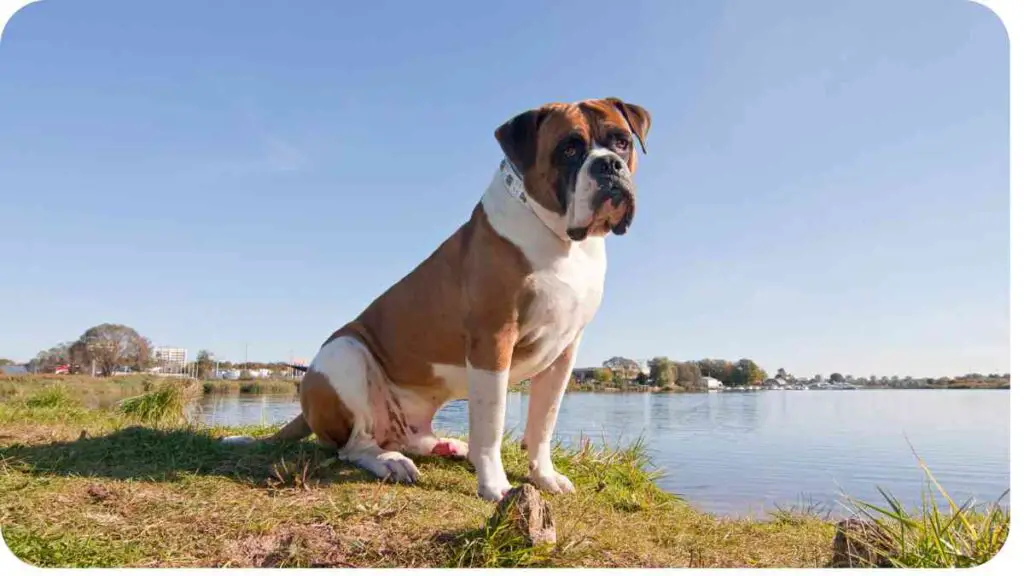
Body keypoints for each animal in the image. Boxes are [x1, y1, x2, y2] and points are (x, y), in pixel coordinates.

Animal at [227, 97, 651, 498]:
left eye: (621, 142)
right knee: (354, 445)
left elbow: (544, 421)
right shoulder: (493, 339)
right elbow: (491, 422)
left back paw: (446, 445)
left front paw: (544, 477)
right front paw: (495, 485)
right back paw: (390, 462)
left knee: (406, 437)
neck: (562, 239)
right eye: (569, 149)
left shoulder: (564, 352)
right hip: (344, 354)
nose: (609, 165)